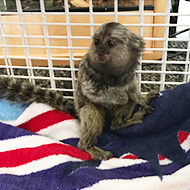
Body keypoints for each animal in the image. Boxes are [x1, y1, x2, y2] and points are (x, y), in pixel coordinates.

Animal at [74, 21, 157, 160]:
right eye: (97, 41)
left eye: (110, 43)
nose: (100, 49)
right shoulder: (88, 71)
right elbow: (91, 91)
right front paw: (121, 96)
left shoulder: (129, 74)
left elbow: (132, 91)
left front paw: (143, 100)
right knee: (90, 110)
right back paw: (89, 147)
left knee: (125, 108)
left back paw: (122, 123)